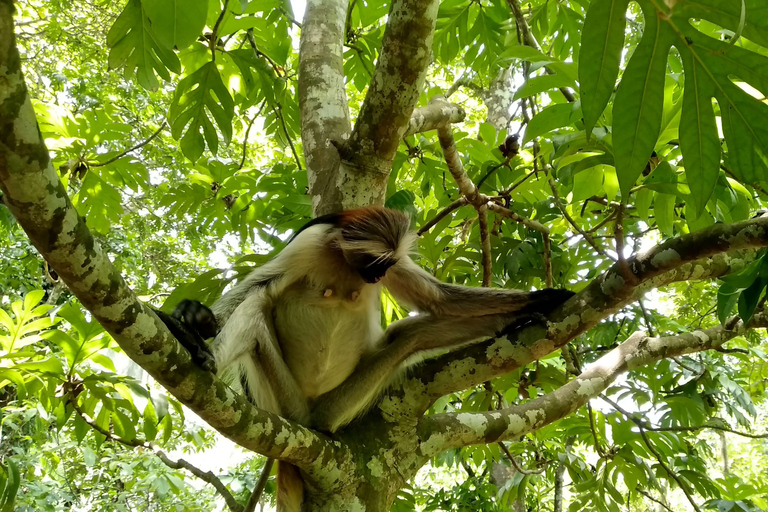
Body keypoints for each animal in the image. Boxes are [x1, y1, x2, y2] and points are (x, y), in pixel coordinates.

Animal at [156, 206, 572, 510]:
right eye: (375, 266)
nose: (377, 278)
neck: (343, 260)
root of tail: (310, 416)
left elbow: (440, 301)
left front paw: (539, 300)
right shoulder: (311, 241)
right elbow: (260, 286)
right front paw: (193, 319)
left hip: (339, 405)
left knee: (411, 335)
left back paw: (511, 321)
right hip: (283, 398)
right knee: (257, 307)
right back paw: (200, 350)